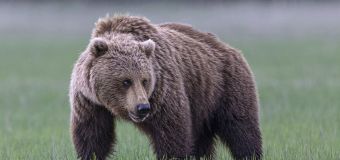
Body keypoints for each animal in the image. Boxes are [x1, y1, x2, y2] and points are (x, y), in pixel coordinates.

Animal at [68, 15, 260, 160]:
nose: (142, 107)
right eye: (126, 81)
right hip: (202, 103)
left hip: (226, 86)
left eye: (144, 80)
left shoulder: (163, 92)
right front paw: (91, 154)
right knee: (202, 138)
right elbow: (93, 137)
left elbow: (172, 133)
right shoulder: (89, 102)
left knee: (241, 129)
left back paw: (249, 153)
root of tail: (230, 48)